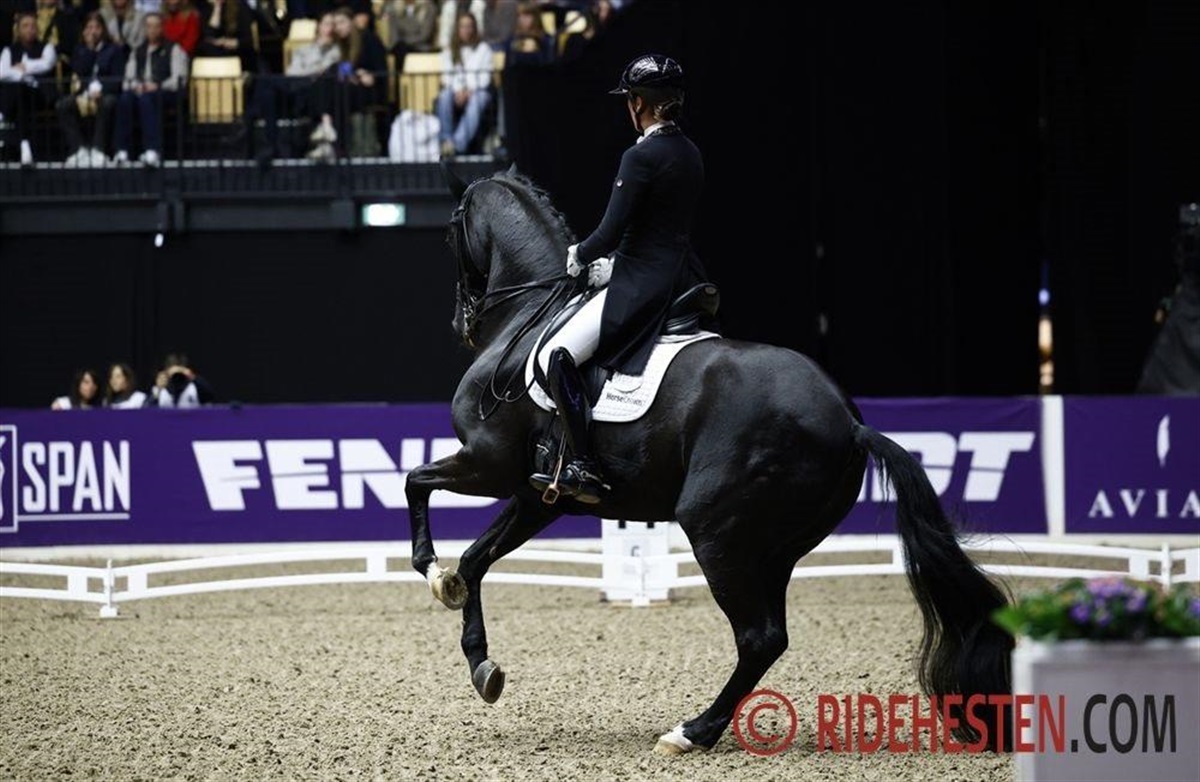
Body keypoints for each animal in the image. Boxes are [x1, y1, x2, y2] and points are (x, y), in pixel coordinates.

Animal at [404, 165, 1014, 754]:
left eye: (450, 232)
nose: (461, 324)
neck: (532, 314)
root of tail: (849, 421)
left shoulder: (488, 463)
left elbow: (416, 482)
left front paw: (431, 570)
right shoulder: (539, 495)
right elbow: (476, 560)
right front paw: (481, 663)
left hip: (715, 529)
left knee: (758, 637)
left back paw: (691, 732)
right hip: (772, 548)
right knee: (771, 637)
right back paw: (706, 728)